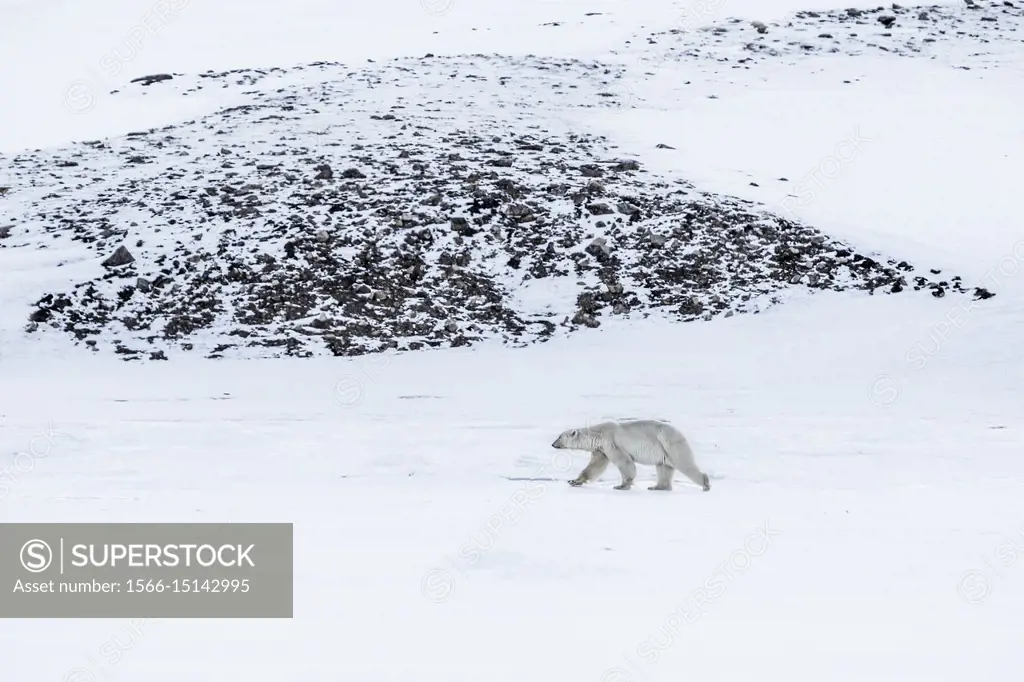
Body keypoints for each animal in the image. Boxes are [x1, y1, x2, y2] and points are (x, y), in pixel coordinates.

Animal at [552, 417, 712, 491]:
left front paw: (621, 485)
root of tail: (680, 434)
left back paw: (705, 483)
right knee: (663, 467)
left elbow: (624, 462)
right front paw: (574, 481)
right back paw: (656, 487)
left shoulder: (612, 442)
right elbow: (595, 465)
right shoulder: (601, 449)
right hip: (663, 451)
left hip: (671, 444)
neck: (598, 434)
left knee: (685, 464)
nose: (553, 444)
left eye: (560, 436)